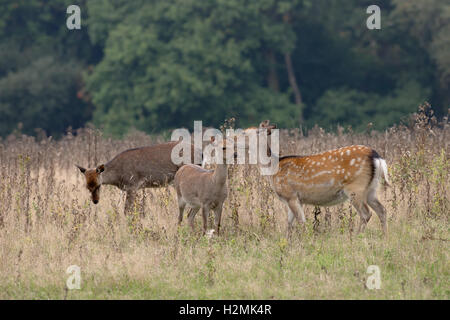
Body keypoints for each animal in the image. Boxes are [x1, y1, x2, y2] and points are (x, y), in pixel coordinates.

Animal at [241, 121, 388, 236]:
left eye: (244, 133)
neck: (273, 169)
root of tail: (377, 157)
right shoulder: (294, 199)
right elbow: (289, 224)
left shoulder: (290, 195)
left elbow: (301, 222)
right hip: (371, 189)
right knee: (382, 210)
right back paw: (384, 237)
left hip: (355, 188)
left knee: (366, 214)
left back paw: (356, 237)